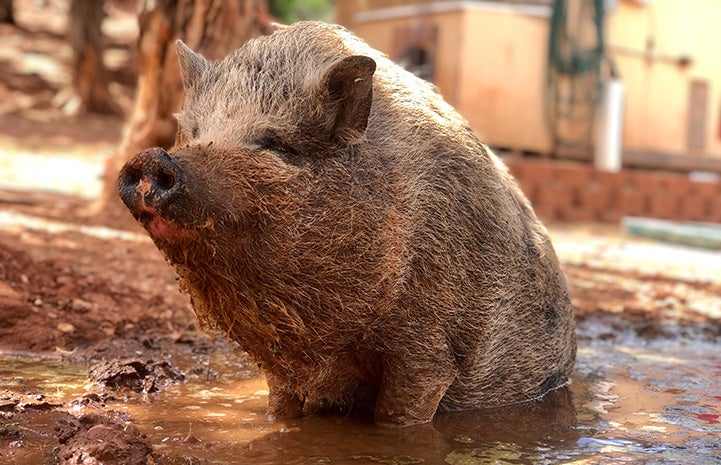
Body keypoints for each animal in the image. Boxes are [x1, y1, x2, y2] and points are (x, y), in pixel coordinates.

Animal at [118, 22, 572, 428]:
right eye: (194, 133)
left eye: (275, 144)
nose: (152, 158)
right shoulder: (278, 364)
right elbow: (280, 407)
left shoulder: (431, 346)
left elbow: (400, 415)